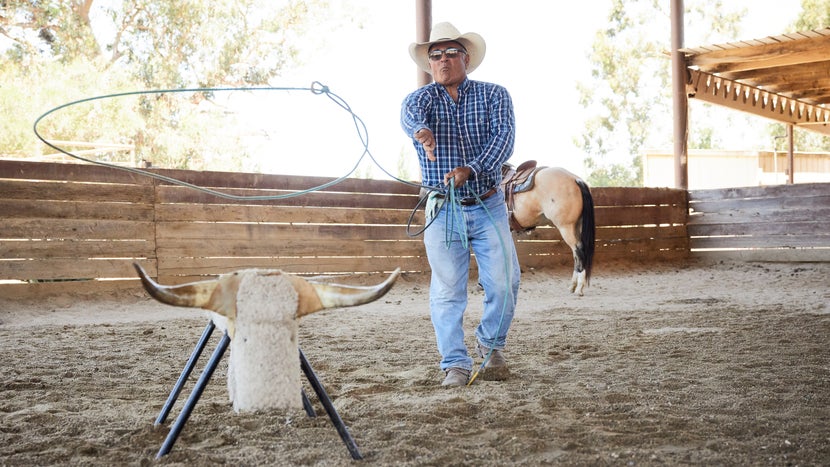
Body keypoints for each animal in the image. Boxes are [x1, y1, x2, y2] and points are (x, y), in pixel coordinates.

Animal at [504, 161, 596, 296]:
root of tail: (576, 179)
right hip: (577, 225)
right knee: (576, 254)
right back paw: (573, 286)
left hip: (566, 227)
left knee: (578, 250)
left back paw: (579, 288)